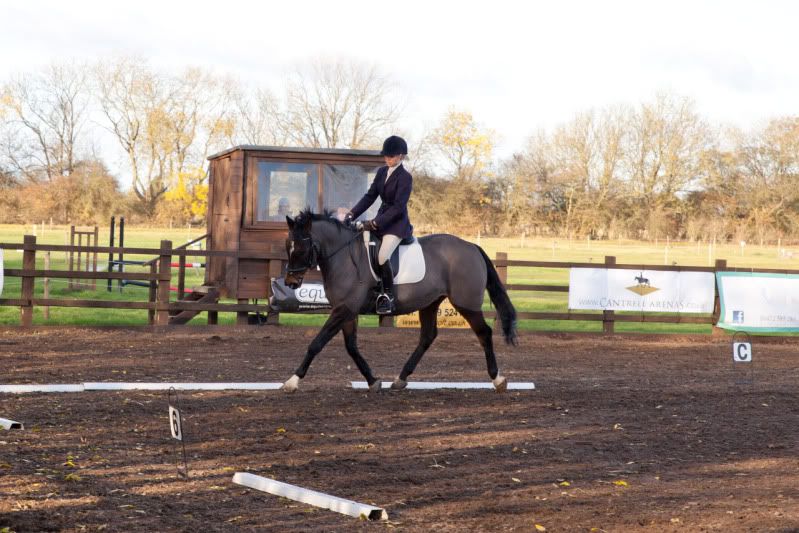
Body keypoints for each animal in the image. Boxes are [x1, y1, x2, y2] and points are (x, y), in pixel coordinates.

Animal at [280, 208, 517, 393]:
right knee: (427, 336)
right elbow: (351, 347)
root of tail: (471, 247)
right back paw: (400, 378)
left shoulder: (344, 309)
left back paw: (498, 379)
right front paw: (373, 381)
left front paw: (292, 381)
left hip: (465, 303)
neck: (344, 258)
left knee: (484, 333)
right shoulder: (346, 311)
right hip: (430, 303)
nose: (290, 282)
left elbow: (316, 343)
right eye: (287, 245)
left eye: (300, 248)